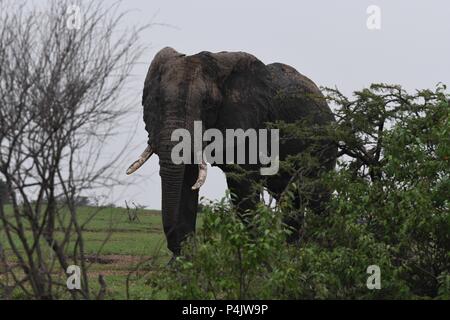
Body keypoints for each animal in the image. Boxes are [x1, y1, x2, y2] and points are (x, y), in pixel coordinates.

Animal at [126, 47, 338, 258]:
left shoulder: (249, 124)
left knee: (318, 196)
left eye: (206, 103)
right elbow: (187, 181)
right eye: (157, 100)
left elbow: (242, 185)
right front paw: (186, 262)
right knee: (289, 198)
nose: (176, 249)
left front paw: (254, 257)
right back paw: (293, 254)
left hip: (324, 145)